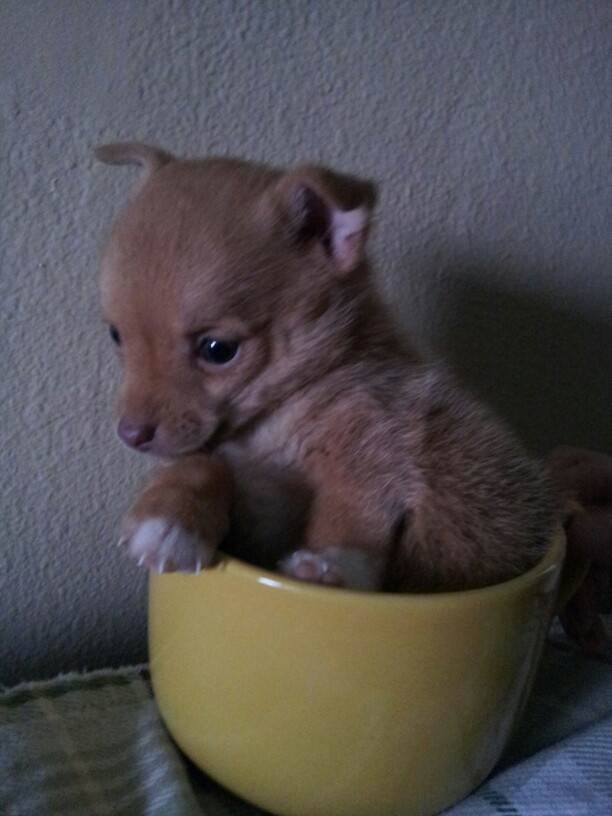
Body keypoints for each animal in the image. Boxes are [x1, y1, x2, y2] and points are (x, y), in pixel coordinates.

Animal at [94, 143, 560, 588]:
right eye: (115, 335)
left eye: (217, 349)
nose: (129, 435)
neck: (270, 425)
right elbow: (201, 464)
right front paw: (168, 518)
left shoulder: (376, 447)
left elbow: (351, 514)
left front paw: (324, 565)